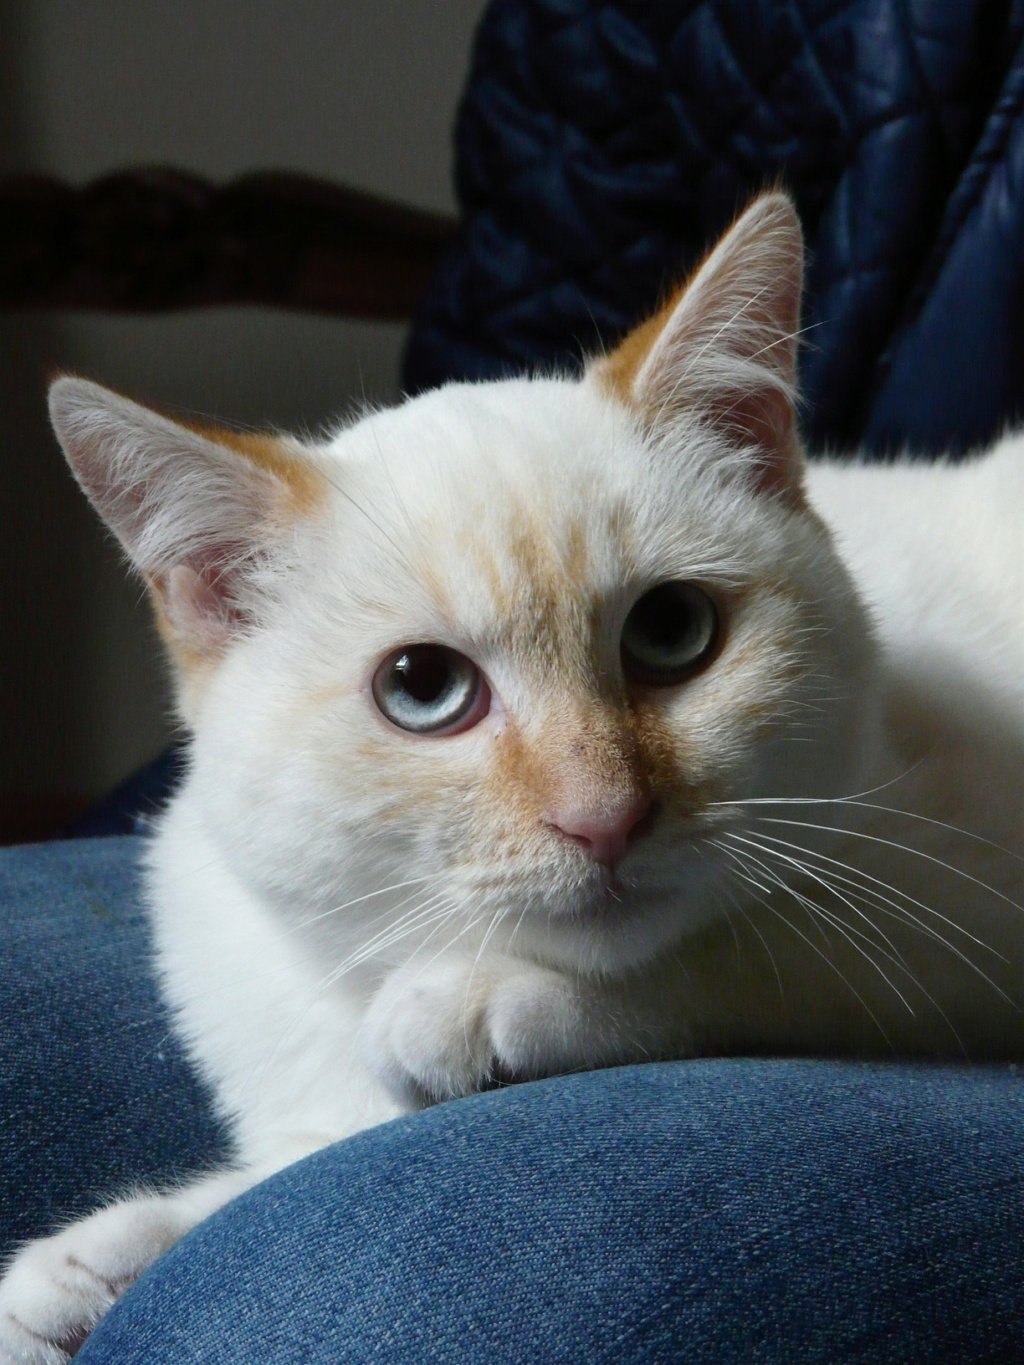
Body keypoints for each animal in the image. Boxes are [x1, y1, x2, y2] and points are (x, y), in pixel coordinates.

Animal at [2, 187, 1024, 1359]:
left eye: (673, 632)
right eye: (421, 689)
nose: (604, 816)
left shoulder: (954, 900)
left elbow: (748, 957)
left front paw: (480, 1004)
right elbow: (295, 1159)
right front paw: (100, 1264)